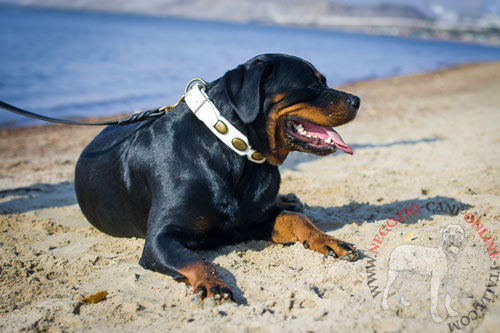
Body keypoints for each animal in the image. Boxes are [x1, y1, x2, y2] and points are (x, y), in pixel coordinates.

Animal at [74, 53, 362, 300]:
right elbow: (195, 259)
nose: (357, 100)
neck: (237, 151)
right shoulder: (159, 239)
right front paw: (212, 282)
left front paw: (330, 240)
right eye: (312, 85)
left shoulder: (255, 221)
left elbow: (298, 219)